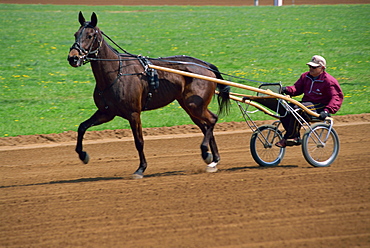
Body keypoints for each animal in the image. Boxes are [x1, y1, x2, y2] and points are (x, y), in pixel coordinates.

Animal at [66, 12, 228, 178]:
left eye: (90, 35)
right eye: (76, 34)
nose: (73, 58)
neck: (116, 73)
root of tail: (205, 65)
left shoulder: (133, 113)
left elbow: (139, 141)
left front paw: (140, 169)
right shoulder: (106, 113)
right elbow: (82, 127)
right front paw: (83, 155)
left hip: (194, 105)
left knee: (212, 120)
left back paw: (206, 153)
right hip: (189, 106)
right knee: (205, 125)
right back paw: (213, 159)